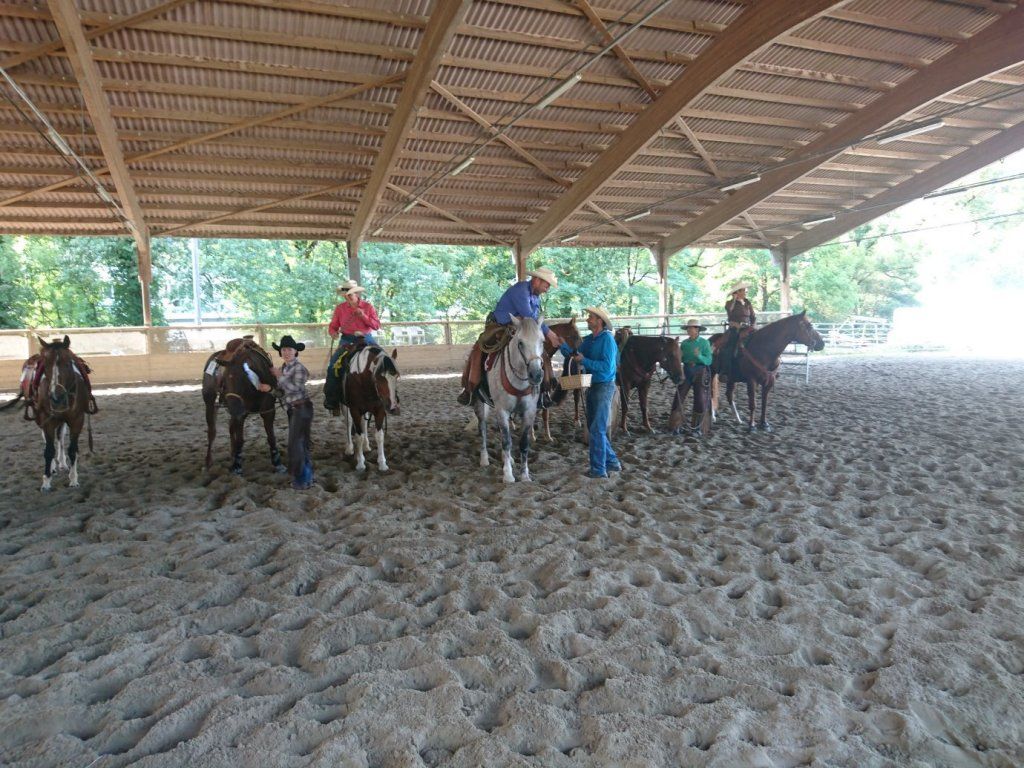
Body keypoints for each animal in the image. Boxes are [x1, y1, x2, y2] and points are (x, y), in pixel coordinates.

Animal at [30, 336, 95, 491]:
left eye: (67, 363)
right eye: (46, 365)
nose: (56, 396)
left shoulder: (77, 420)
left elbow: (72, 449)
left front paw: (73, 479)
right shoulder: (47, 421)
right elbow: (48, 450)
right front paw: (46, 481)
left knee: (60, 438)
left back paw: (63, 464)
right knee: (50, 440)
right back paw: (53, 467)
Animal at [202, 337, 285, 474]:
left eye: (244, 379)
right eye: (225, 380)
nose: (235, 409)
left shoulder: (268, 410)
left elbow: (271, 436)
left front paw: (277, 462)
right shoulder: (240, 413)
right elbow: (240, 439)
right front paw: (237, 465)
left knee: (231, 427)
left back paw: (233, 453)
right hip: (210, 401)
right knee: (212, 431)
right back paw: (208, 461)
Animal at [474, 315, 545, 483]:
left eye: (542, 341)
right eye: (520, 343)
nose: (536, 375)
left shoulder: (529, 411)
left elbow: (523, 443)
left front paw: (525, 475)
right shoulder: (502, 410)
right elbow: (507, 441)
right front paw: (508, 475)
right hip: (481, 405)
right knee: (483, 428)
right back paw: (484, 459)